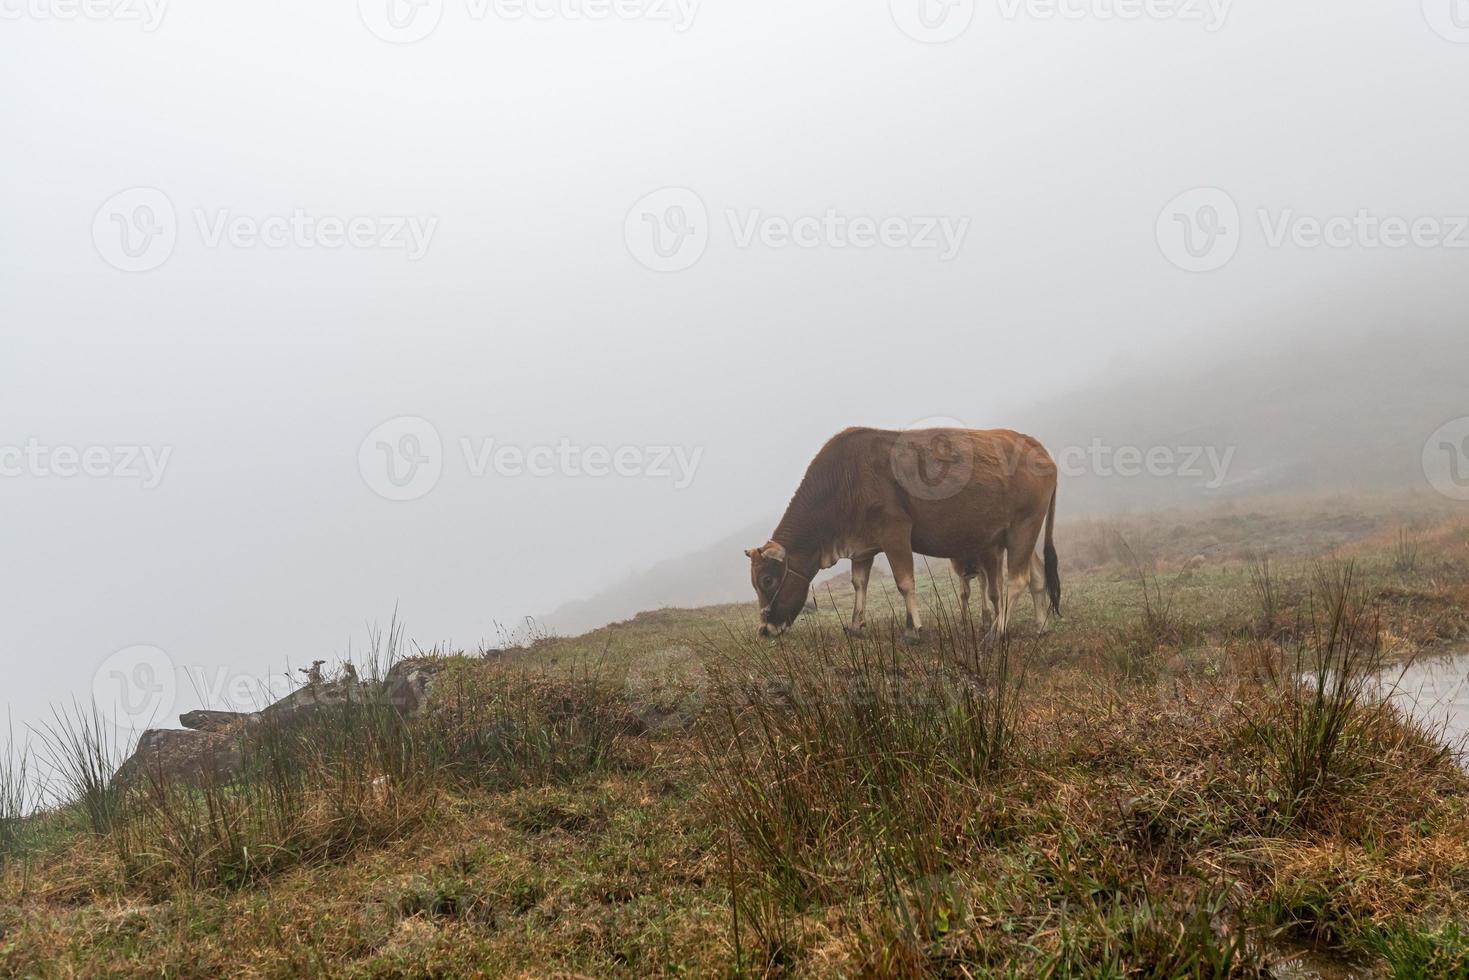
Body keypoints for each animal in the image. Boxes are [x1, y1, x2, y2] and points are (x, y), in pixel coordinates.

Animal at [746, 426, 1057, 640]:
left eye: (767, 579)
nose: (764, 629)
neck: (845, 483)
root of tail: (1039, 449)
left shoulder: (895, 532)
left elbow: (904, 582)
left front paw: (912, 628)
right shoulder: (863, 547)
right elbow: (859, 584)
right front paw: (856, 624)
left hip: (1024, 526)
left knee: (1017, 580)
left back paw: (998, 630)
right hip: (1017, 533)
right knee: (1037, 577)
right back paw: (1041, 625)